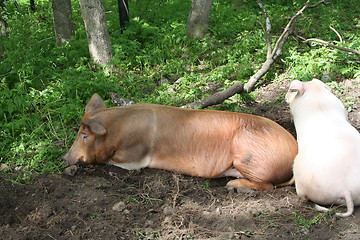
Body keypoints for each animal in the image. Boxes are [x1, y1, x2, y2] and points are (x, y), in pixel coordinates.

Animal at [62, 94, 298, 189]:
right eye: (78, 133)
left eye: (85, 135)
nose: (64, 157)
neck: (117, 131)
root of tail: (295, 152)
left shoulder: (135, 157)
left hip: (249, 159)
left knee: (268, 185)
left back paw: (232, 186)